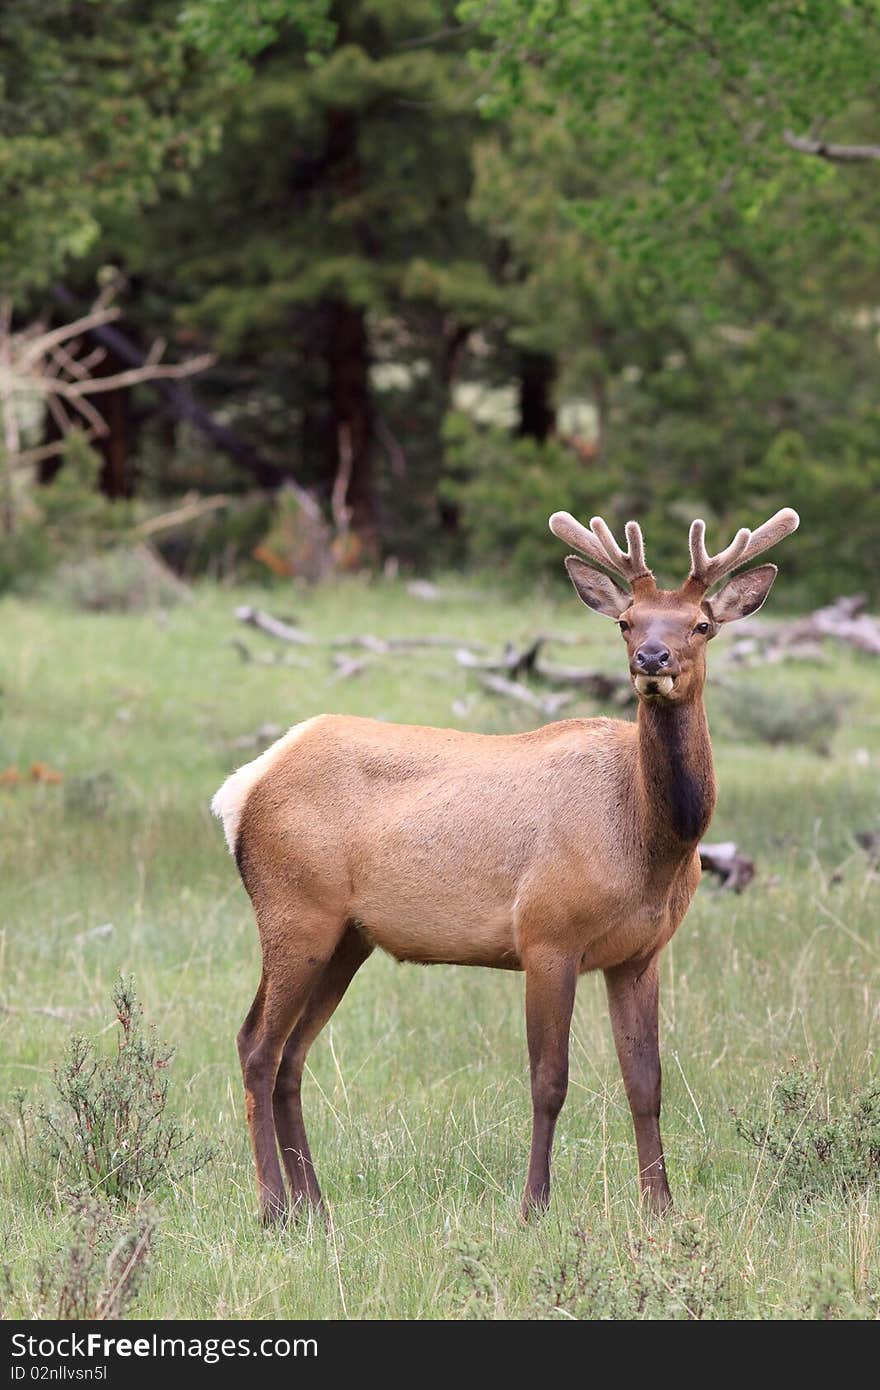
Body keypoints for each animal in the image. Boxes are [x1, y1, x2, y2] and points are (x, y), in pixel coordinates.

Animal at [211, 505, 795, 1223]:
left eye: (701, 624)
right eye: (626, 620)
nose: (651, 659)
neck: (651, 846)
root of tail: (241, 788)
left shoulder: (640, 954)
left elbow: (647, 1082)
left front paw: (661, 1205)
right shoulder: (546, 934)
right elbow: (549, 1079)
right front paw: (534, 1204)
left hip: (347, 936)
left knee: (292, 1054)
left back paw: (314, 1205)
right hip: (294, 910)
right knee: (256, 1045)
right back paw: (273, 1206)